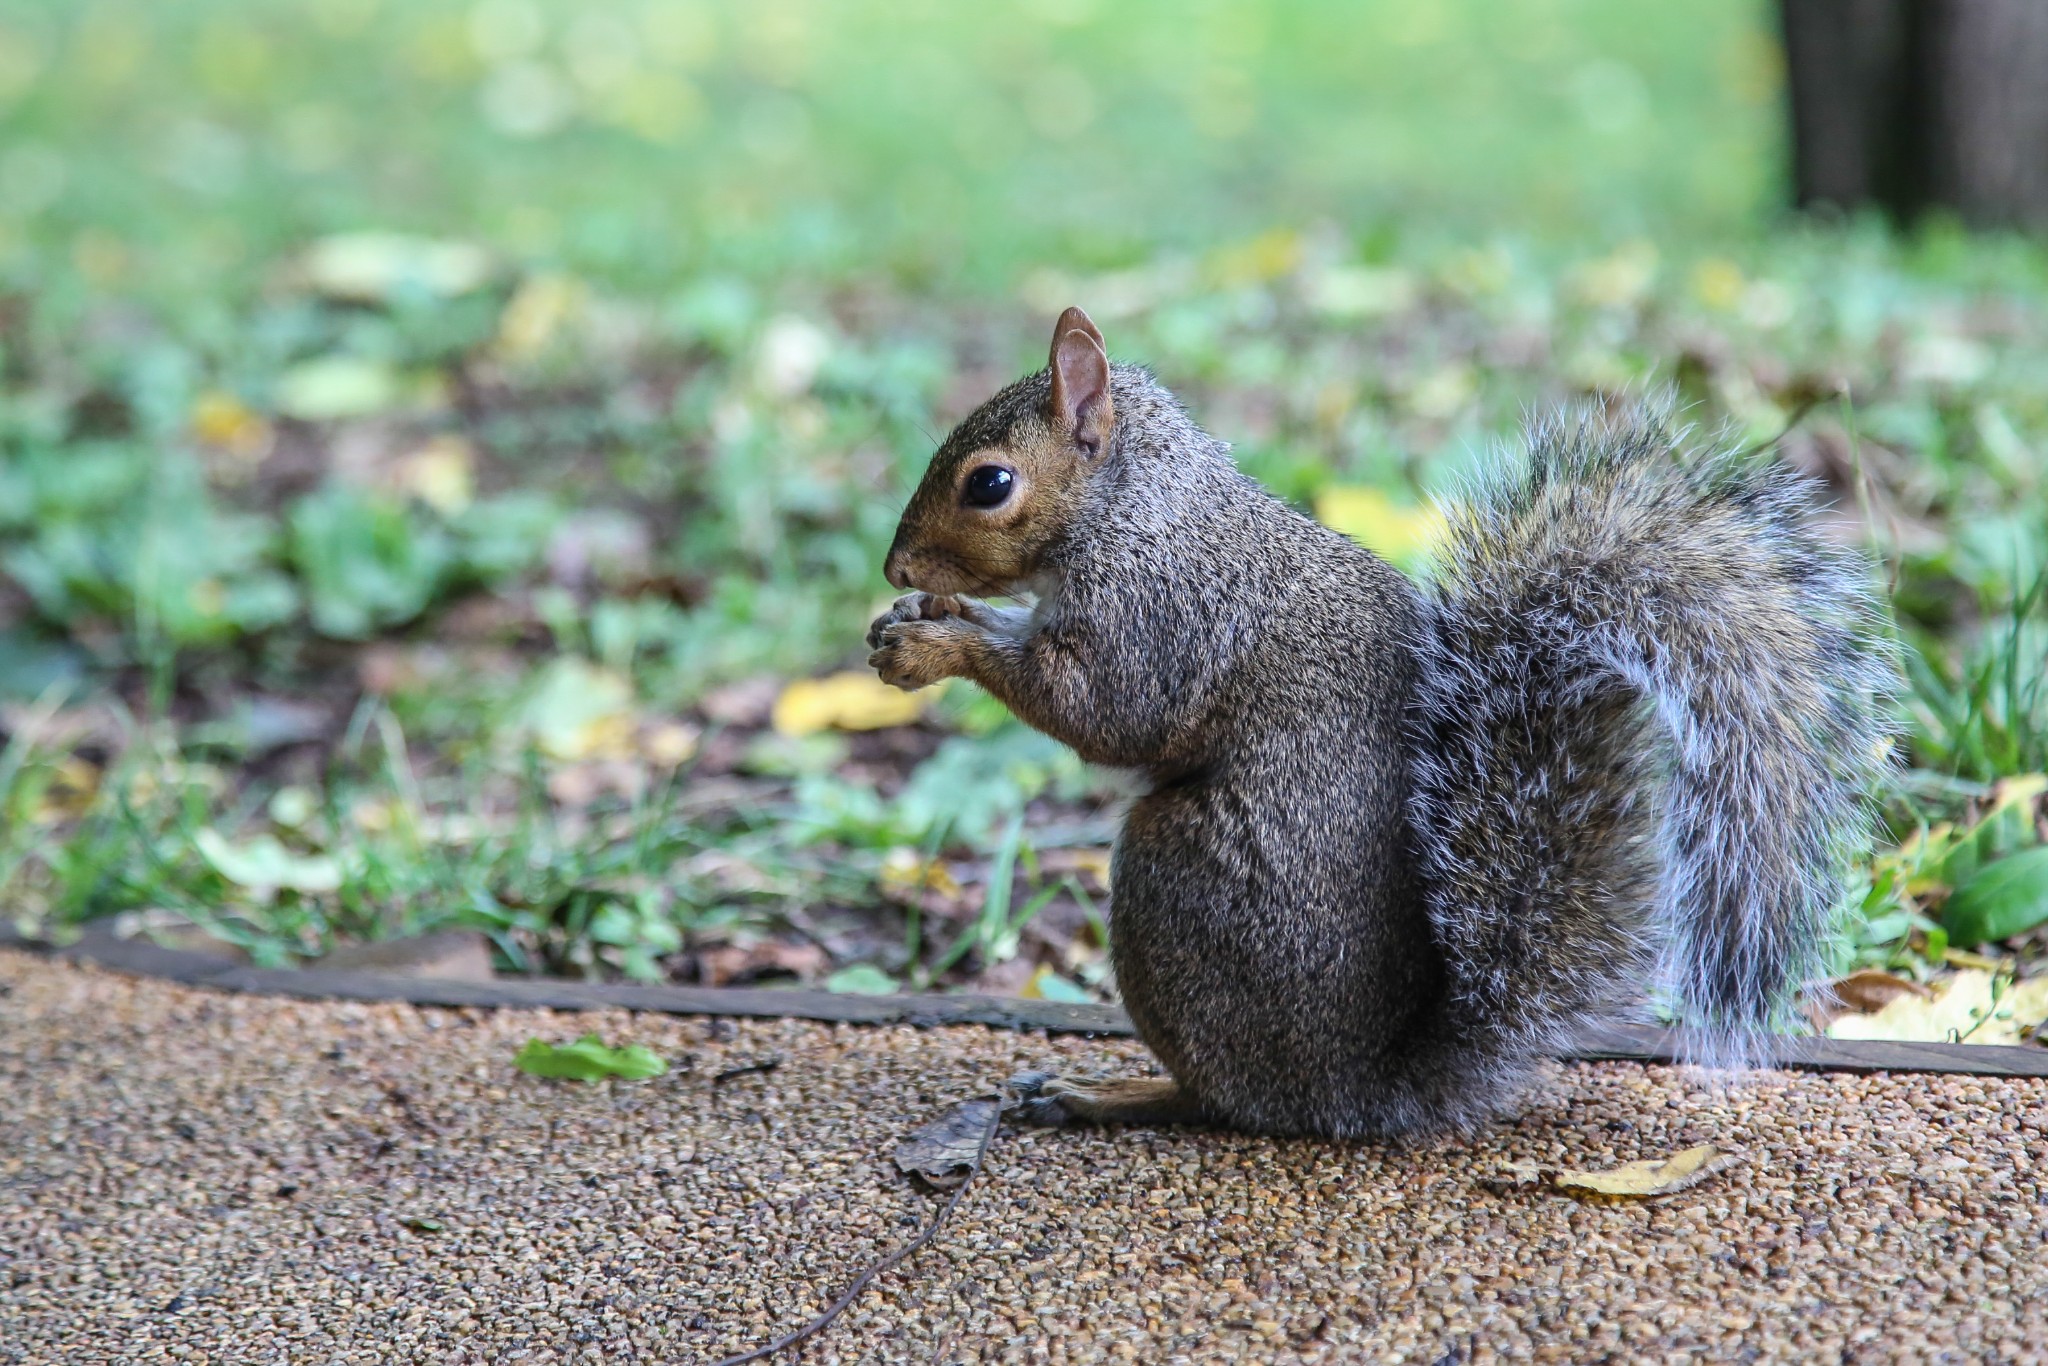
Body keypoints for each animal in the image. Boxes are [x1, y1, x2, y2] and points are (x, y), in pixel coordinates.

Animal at [868, 305, 1900, 1138]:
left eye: (989, 484)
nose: (894, 569)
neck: (1134, 507)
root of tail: (1366, 1085)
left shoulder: (1163, 611)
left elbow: (1106, 714)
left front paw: (935, 647)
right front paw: (921, 621)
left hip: (1178, 885)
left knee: (1229, 1100)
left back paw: (1110, 1093)